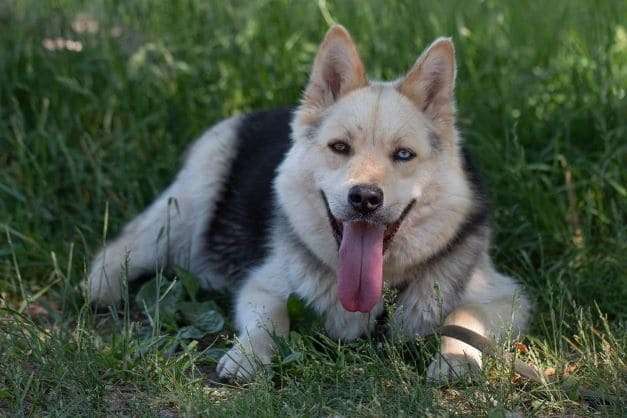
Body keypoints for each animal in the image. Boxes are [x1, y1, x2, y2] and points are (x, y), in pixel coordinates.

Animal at [87, 25, 528, 382]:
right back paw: (100, 287)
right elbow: (272, 319)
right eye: (340, 147)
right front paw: (249, 355)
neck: (375, 293)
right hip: (184, 211)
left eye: (404, 155)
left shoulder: (505, 297)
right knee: (124, 245)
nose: (365, 198)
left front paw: (457, 359)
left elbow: (462, 317)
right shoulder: (263, 285)